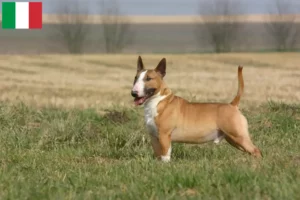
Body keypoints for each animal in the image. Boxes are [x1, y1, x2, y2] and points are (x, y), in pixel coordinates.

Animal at [131, 55, 260, 162]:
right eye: (135, 78)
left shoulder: (164, 135)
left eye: (148, 78)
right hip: (232, 139)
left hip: (238, 136)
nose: (133, 93)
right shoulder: (154, 137)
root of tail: (232, 105)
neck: (157, 101)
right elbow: (158, 155)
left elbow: (165, 156)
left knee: (256, 151)